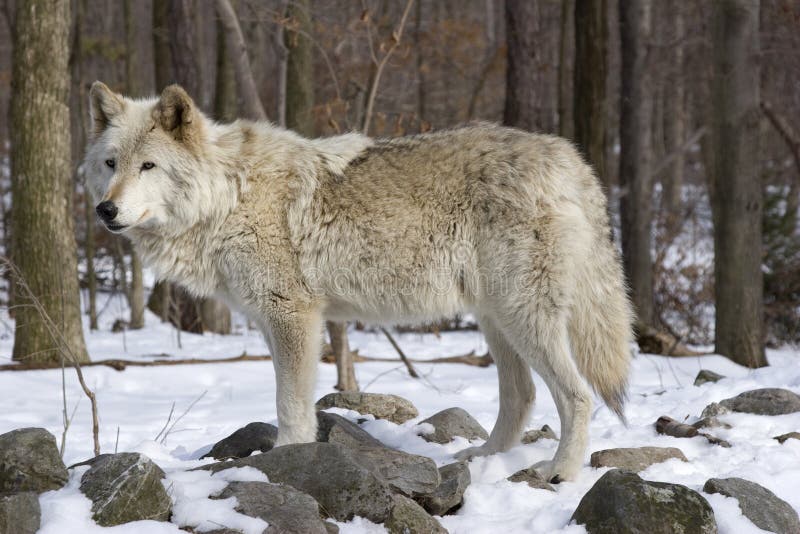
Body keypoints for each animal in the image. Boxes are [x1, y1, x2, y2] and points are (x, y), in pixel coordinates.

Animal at [81, 81, 632, 484]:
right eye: (111, 163)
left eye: (148, 166)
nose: (105, 210)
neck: (229, 195)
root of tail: (570, 158)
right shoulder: (274, 321)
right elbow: (295, 398)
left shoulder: (292, 315)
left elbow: (290, 404)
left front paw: (285, 459)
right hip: (497, 320)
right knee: (521, 395)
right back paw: (483, 459)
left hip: (523, 317)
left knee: (577, 396)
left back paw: (560, 472)